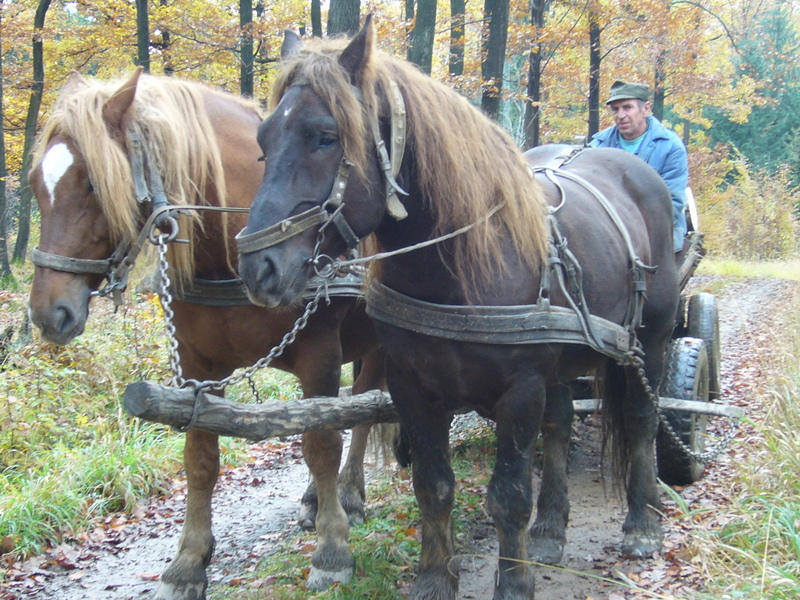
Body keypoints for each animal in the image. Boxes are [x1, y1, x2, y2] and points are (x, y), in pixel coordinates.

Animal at [26, 68, 386, 596]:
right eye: (35, 185)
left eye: (93, 183)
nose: (47, 312)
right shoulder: (198, 367)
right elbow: (201, 457)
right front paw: (189, 561)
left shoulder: (318, 357)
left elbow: (320, 443)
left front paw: (332, 551)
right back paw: (318, 499)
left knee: (361, 408)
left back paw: (349, 495)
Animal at [239, 17, 680, 600]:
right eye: (262, 140)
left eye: (325, 136)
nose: (257, 266)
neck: (458, 269)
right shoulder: (413, 388)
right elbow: (433, 487)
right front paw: (434, 577)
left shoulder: (520, 391)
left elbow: (509, 495)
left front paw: (513, 583)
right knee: (561, 426)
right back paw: (549, 530)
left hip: (649, 340)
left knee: (641, 419)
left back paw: (642, 523)